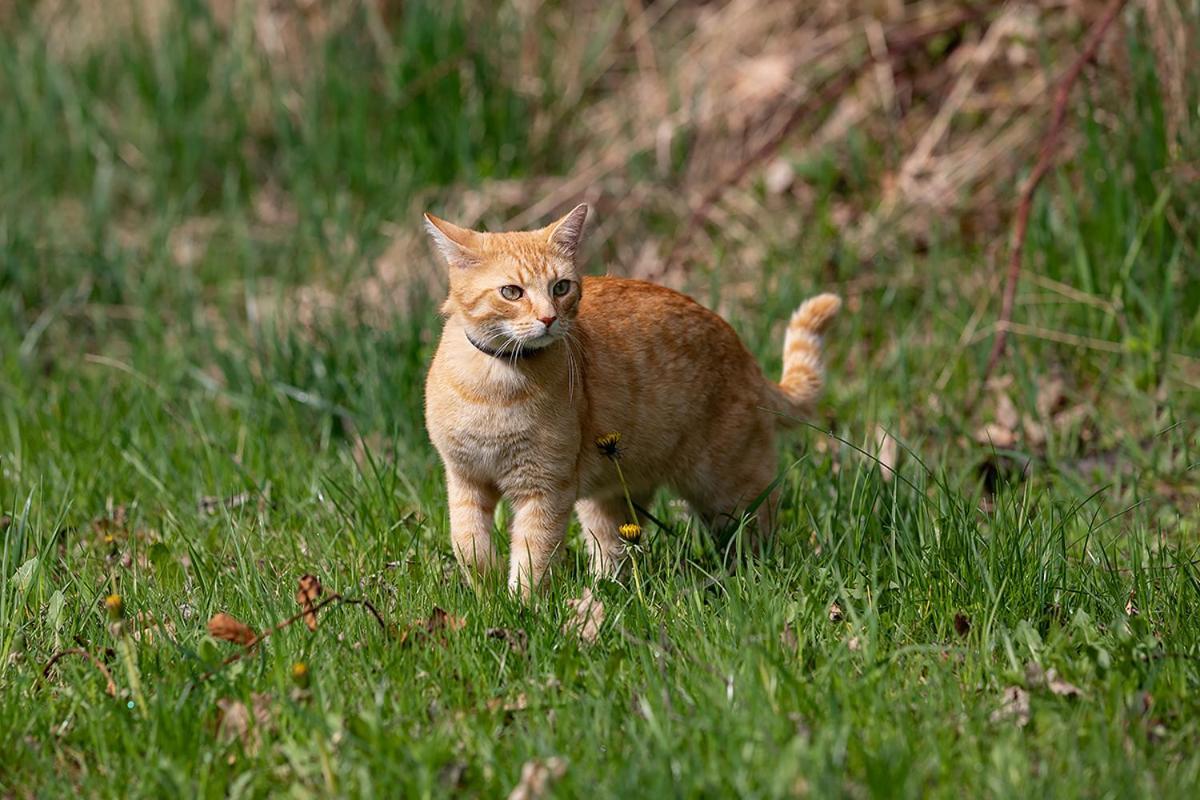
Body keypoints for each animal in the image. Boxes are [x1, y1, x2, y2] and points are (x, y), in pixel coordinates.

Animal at [427, 206, 840, 594]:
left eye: (561, 287)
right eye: (512, 292)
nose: (548, 319)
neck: (494, 385)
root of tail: (745, 355)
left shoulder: (545, 490)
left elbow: (533, 555)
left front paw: (521, 605)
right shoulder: (465, 479)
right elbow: (467, 544)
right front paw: (487, 588)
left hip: (728, 488)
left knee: (760, 530)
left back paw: (752, 576)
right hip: (612, 497)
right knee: (614, 550)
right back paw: (605, 590)